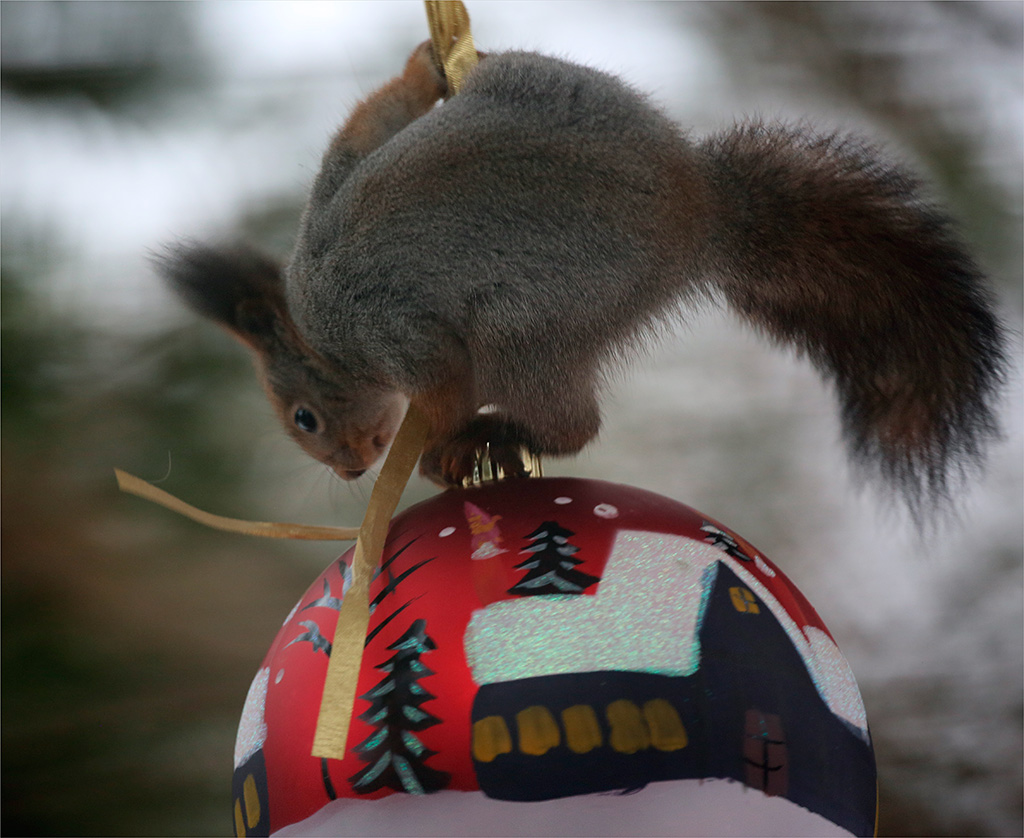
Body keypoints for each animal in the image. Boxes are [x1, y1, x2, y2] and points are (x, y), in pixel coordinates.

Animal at [159, 44, 1007, 516]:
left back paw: (502, 431)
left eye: (303, 418)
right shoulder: (336, 184)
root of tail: (703, 210)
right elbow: (374, 119)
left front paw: (437, 447)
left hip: (530, 326)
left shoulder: (384, 326)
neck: (314, 318)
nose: (349, 467)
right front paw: (424, 63)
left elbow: (443, 385)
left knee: (572, 424)